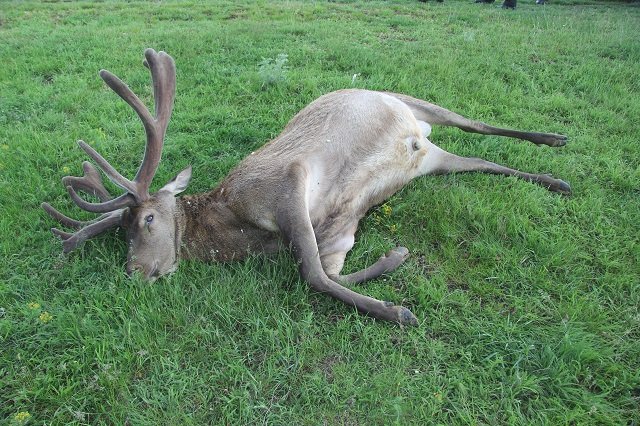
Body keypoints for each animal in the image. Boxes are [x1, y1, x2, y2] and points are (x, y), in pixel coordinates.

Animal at [41, 48, 568, 324]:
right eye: (121, 230)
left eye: (147, 218)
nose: (133, 272)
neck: (246, 234)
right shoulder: (338, 232)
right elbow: (331, 273)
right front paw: (395, 258)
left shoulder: (286, 181)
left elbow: (312, 276)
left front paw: (398, 312)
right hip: (429, 161)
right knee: (482, 160)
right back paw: (554, 178)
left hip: (412, 101)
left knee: (476, 123)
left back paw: (553, 139)